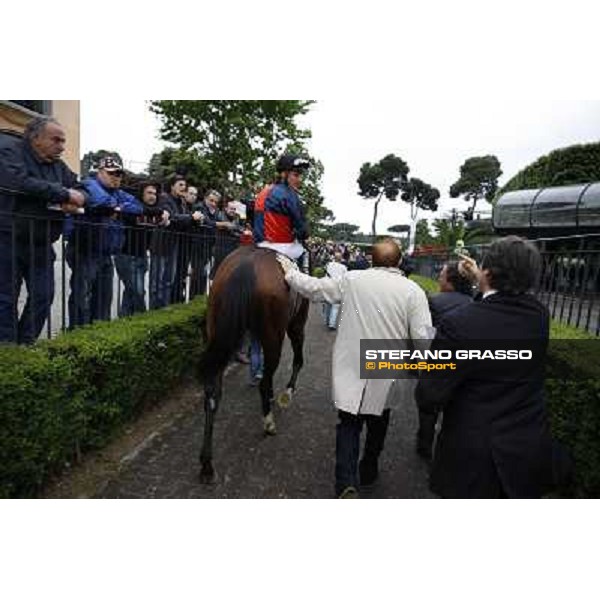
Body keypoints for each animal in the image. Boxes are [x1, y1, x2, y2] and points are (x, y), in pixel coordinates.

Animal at [199, 244, 310, 482]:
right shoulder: (296, 324)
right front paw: (287, 392)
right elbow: (297, 360)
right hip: (275, 335)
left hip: (219, 332)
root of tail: (247, 265)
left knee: (212, 393)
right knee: (266, 380)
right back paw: (268, 422)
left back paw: (206, 464)